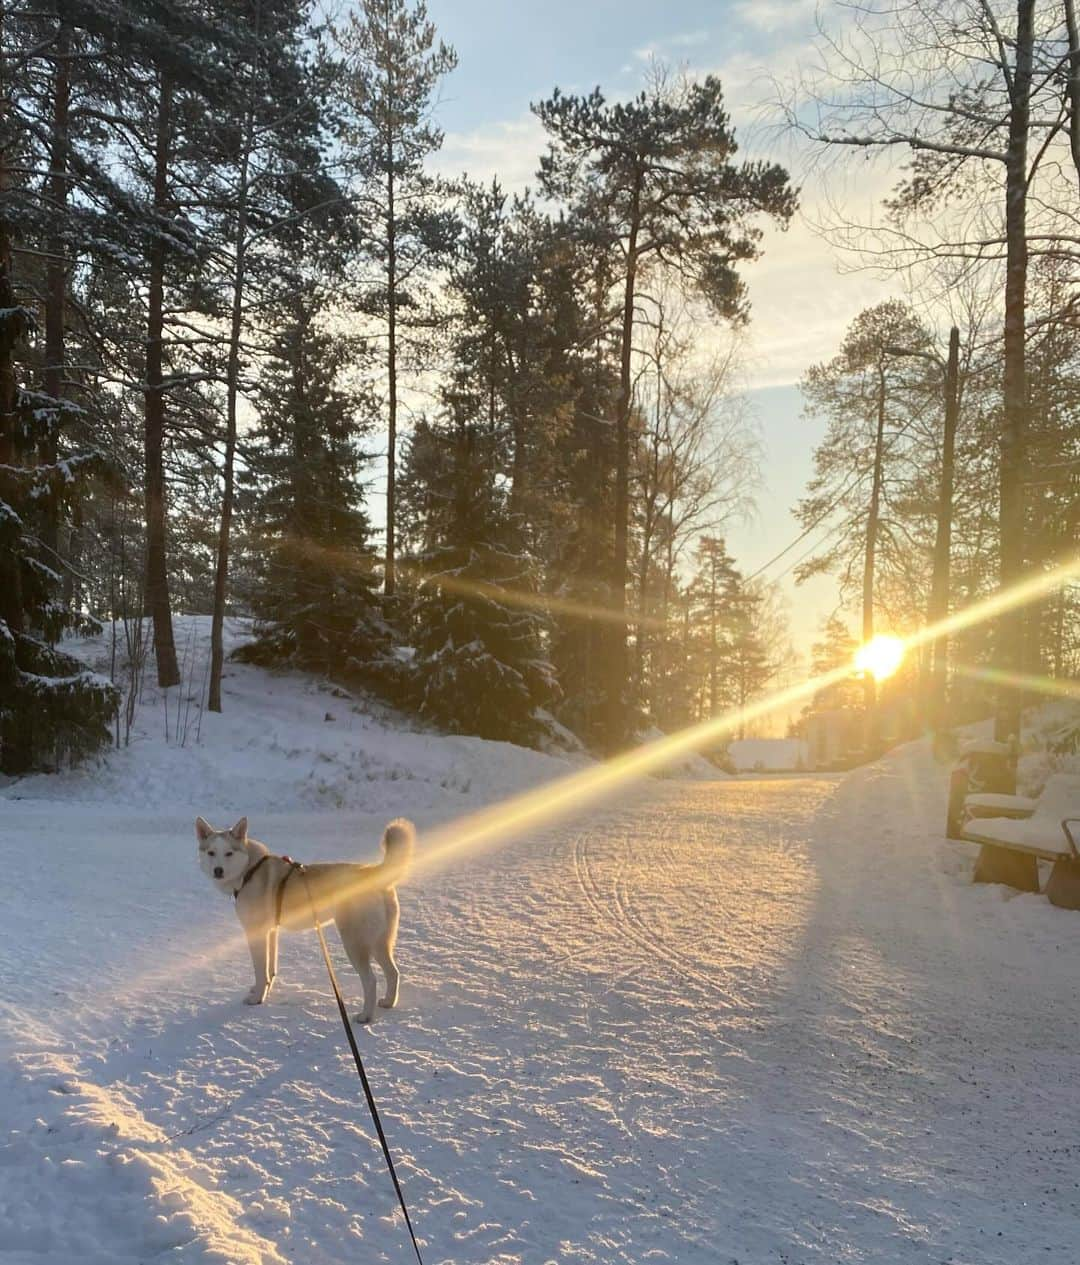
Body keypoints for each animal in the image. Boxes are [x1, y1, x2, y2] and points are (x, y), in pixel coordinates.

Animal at [194, 814, 414, 1022]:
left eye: (229, 853)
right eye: (211, 853)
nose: (218, 871)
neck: (249, 870)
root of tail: (372, 872)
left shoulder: (256, 933)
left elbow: (260, 969)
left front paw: (257, 998)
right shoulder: (271, 931)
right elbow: (269, 968)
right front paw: (264, 987)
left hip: (355, 942)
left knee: (371, 981)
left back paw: (365, 1016)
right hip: (380, 941)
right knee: (393, 972)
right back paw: (388, 1002)